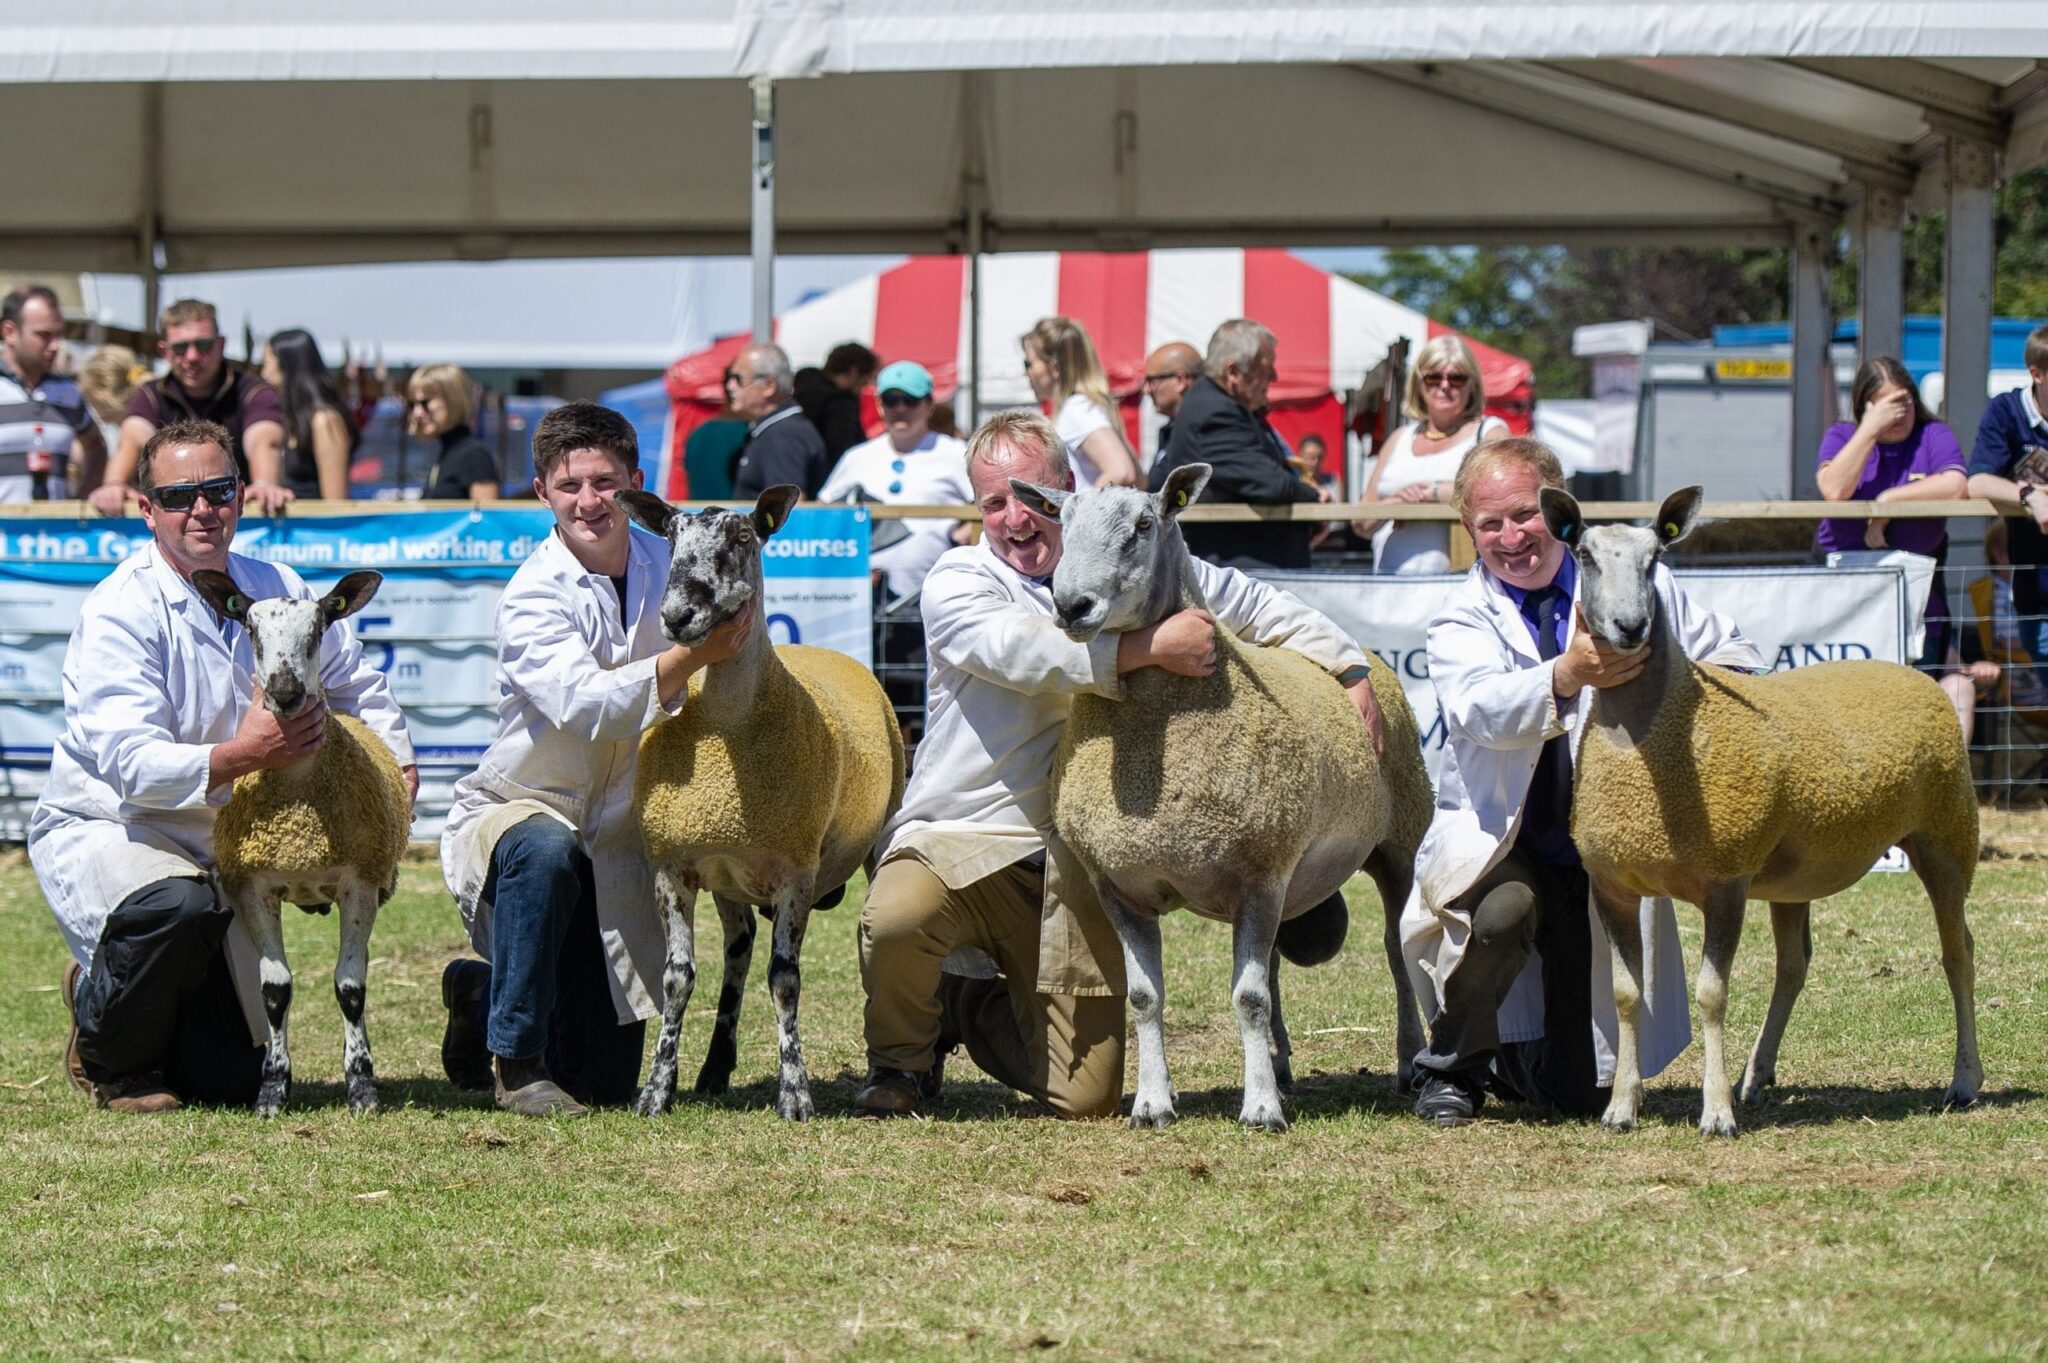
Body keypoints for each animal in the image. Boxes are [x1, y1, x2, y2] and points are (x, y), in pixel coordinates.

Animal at [191, 564, 411, 1113]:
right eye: (250, 630)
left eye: (318, 631)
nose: (286, 693)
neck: (299, 820)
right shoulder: (252, 886)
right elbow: (275, 991)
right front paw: (272, 1087)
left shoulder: (359, 883)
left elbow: (350, 989)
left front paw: (362, 1086)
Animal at [614, 482, 905, 1121]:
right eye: (669, 536)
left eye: (744, 536)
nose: (677, 615)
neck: (728, 724)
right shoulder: (673, 865)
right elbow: (677, 978)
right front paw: (655, 1089)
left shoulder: (796, 870)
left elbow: (785, 980)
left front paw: (794, 1093)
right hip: (729, 874)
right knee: (737, 952)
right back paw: (714, 1068)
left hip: (880, 833)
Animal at [1011, 462, 1433, 1129]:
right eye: (1063, 522)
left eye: (1144, 524)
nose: (1071, 605)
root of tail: (1370, 654)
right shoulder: (1121, 884)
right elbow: (1145, 997)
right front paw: (1153, 1103)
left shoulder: (1259, 871)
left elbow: (1248, 997)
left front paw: (1259, 1110)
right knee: (1281, 966)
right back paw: (1281, 1067)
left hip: (1399, 843)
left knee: (1396, 955)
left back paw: (1408, 1063)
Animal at [1548, 489, 1982, 1137]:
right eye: (1584, 555)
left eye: (1656, 559)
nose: (1630, 627)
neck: (1653, 734)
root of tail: (1914, 672)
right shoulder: (1613, 883)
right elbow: (1627, 994)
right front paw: (1622, 1108)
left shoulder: (1726, 879)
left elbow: (1712, 994)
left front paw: (1715, 1113)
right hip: (1796, 876)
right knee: (1794, 965)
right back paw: (1756, 1076)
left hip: (1947, 835)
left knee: (1959, 954)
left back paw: (1964, 1081)